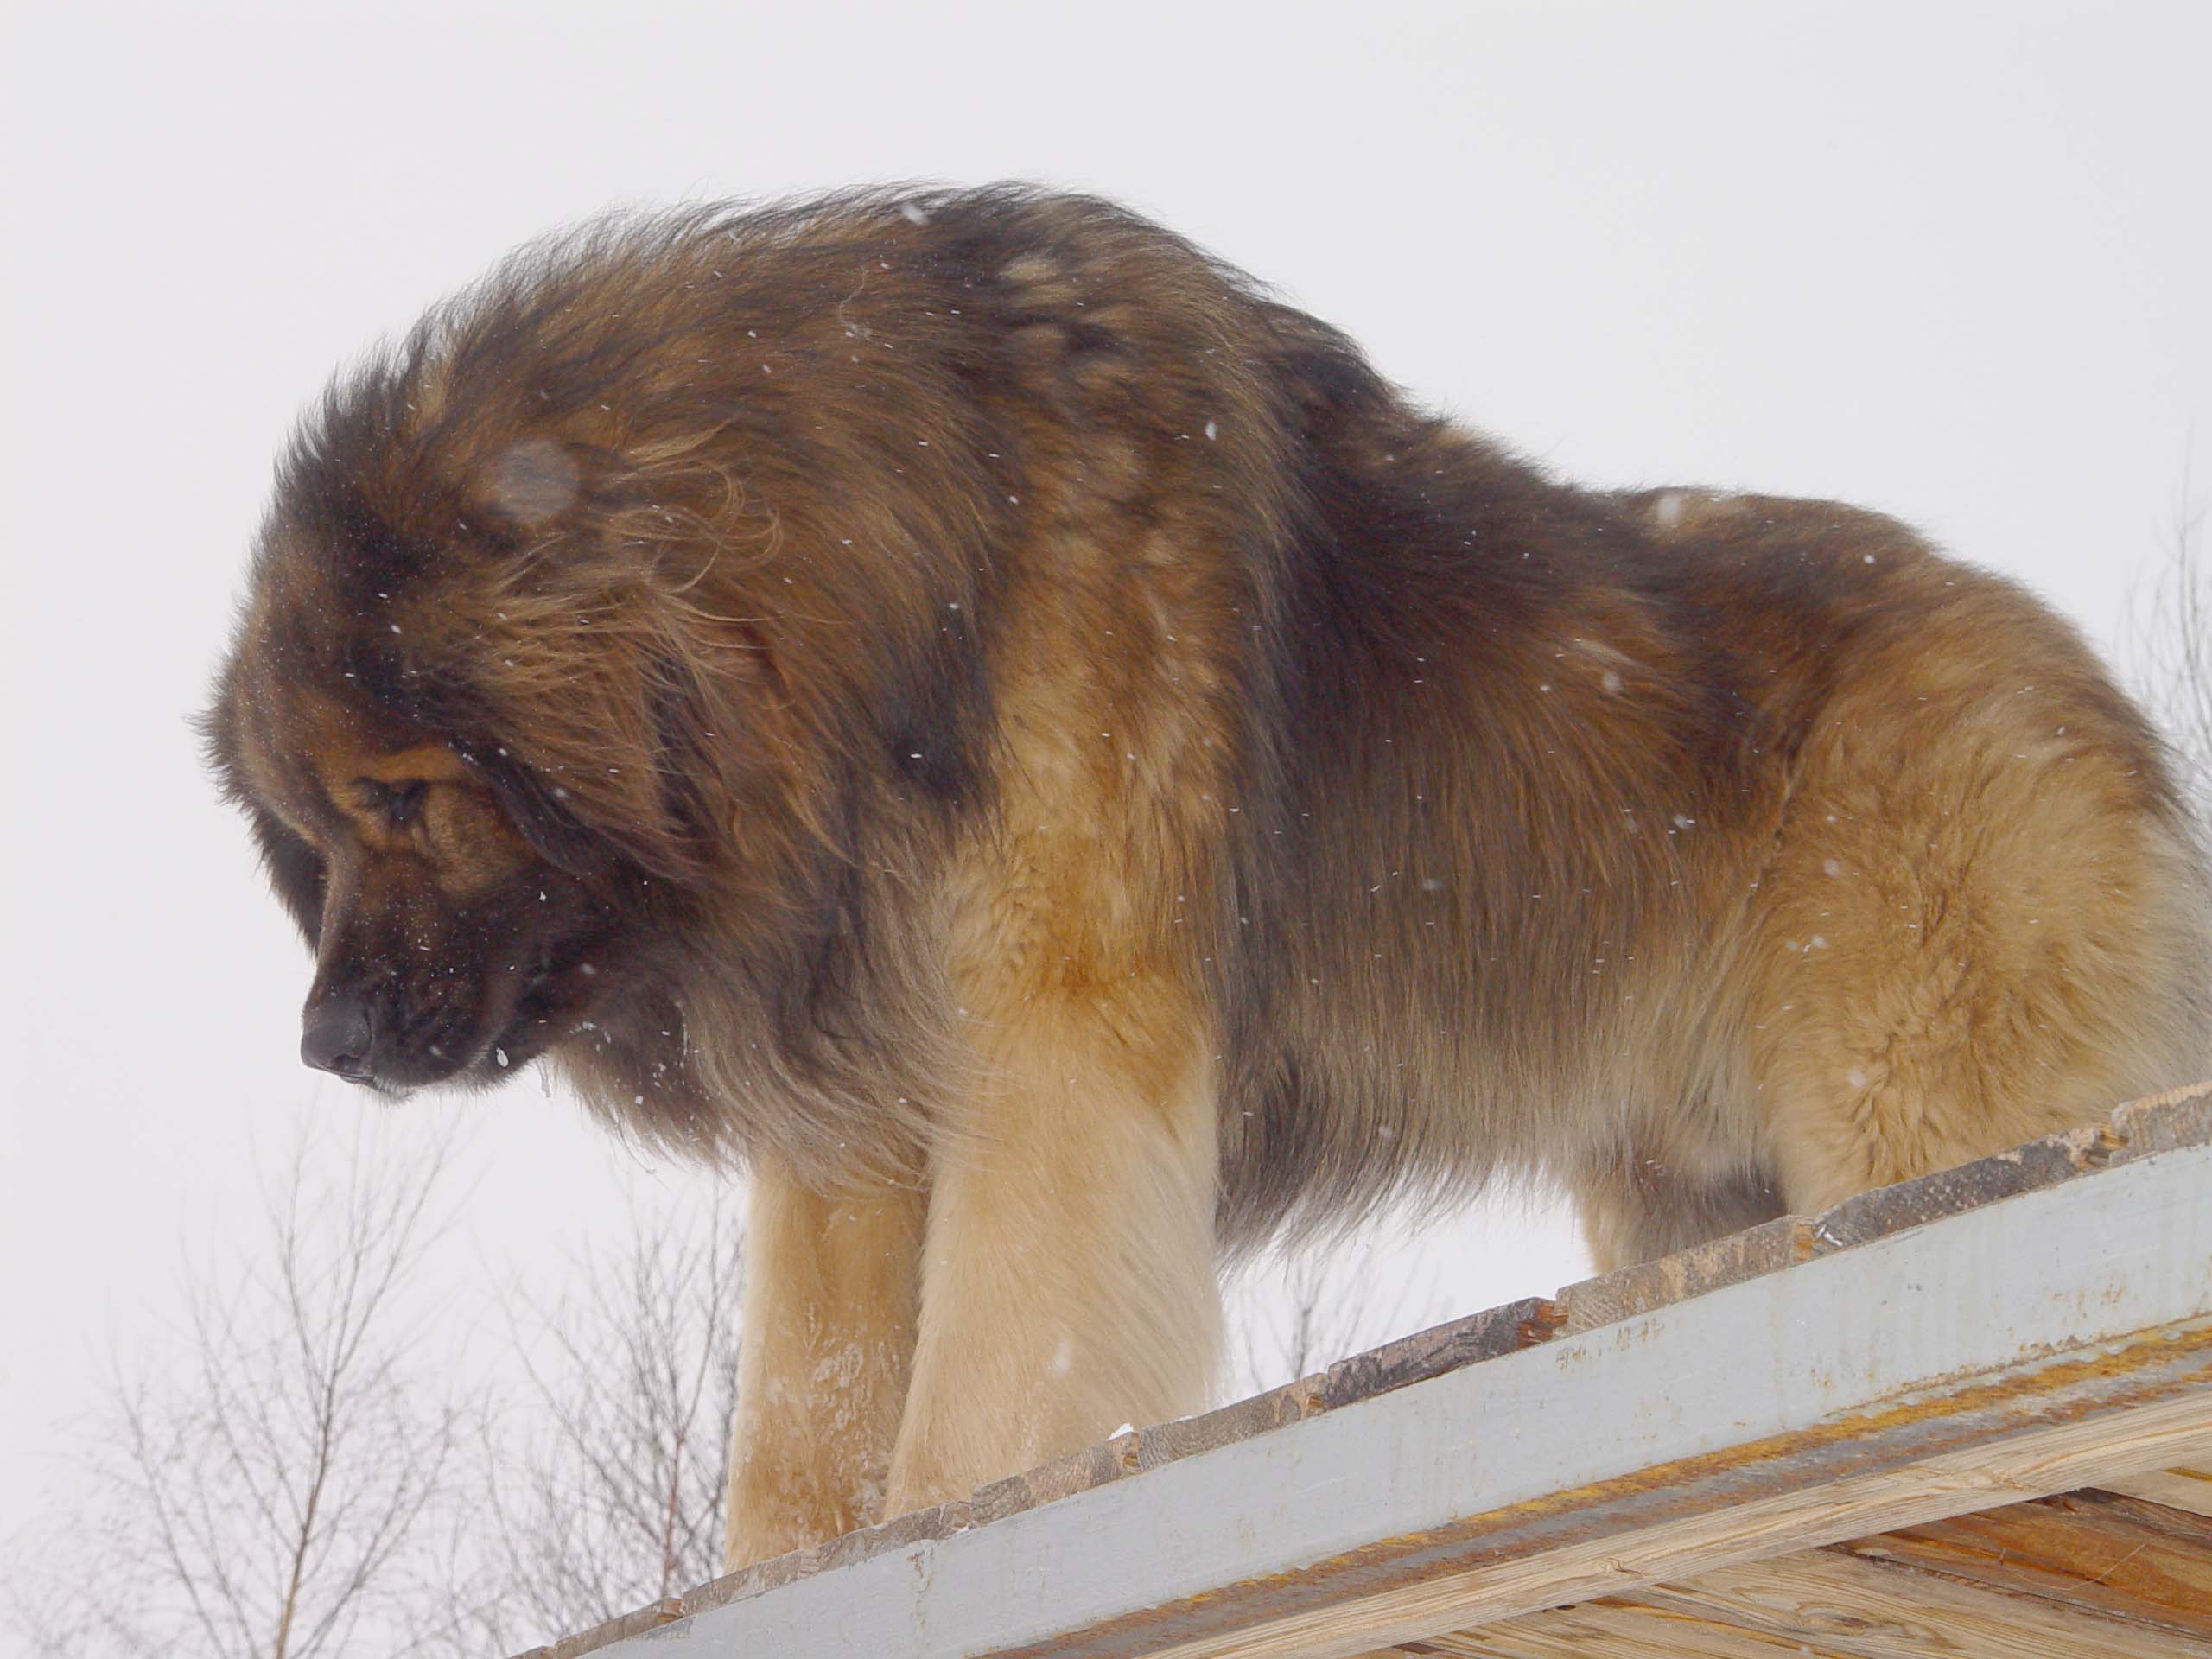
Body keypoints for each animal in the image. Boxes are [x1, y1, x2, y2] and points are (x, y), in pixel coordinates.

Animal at [207, 184, 2212, 1574]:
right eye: (311, 833)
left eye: (399, 797)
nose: (324, 1044)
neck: (866, 584)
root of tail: (2075, 680)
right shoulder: (853, 1137)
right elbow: (799, 1444)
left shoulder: (1053, 1060)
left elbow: (969, 1419)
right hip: (1688, 1198)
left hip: (1917, 1121)